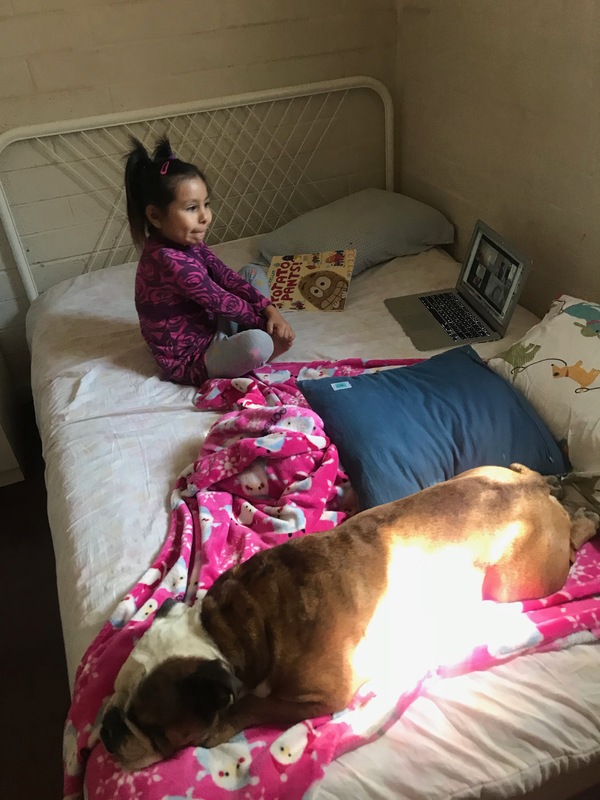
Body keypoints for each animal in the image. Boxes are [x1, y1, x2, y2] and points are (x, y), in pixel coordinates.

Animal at [101, 462, 596, 768]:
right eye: (113, 697)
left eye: (151, 727)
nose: (106, 727)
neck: (232, 630)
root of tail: (528, 484)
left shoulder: (320, 698)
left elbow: (255, 704)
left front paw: (223, 724)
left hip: (522, 580)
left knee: (571, 541)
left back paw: (585, 519)